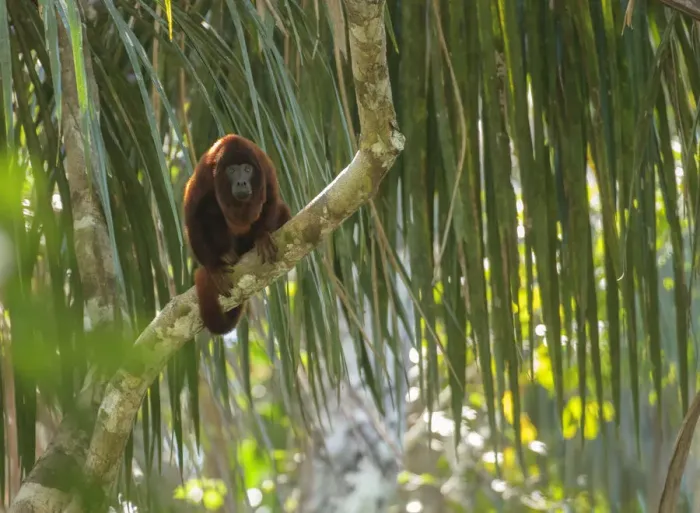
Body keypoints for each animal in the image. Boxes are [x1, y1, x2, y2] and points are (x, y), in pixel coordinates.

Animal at [183, 134, 292, 335]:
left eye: (247, 169)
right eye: (232, 170)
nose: (241, 182)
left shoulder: (264, 165)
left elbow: (272, 197)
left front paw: (262, 236)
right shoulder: (203, 175)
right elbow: (192, 216)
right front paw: (213, 267)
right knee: (209, 207)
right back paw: (226, 255)